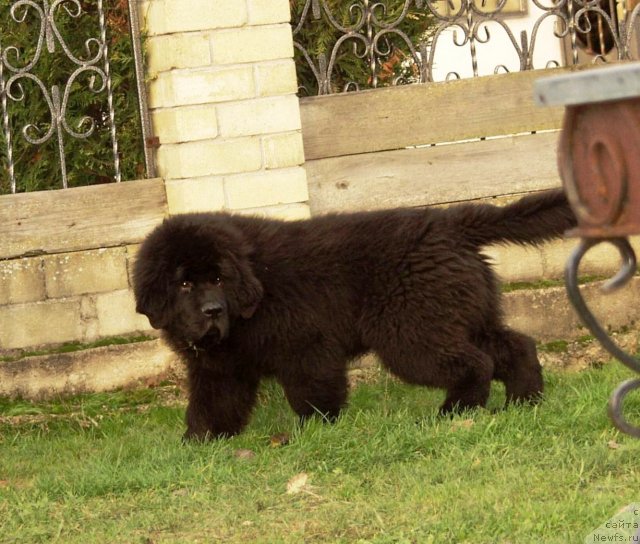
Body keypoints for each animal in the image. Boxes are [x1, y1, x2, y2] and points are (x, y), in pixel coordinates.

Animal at [134, 189, 576, 440]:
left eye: (218, 279)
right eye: (184, 284)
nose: (212, 310)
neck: (254, 286)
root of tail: (451, 223)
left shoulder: (307, 346)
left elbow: (313, 394)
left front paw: (313, 430)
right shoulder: (221, 369)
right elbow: (213, 405)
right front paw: (197, 443)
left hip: (410, 334)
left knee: (476, 362)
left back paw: (454, 413)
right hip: (459, 316)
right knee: (514, 346)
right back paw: (524, 401)